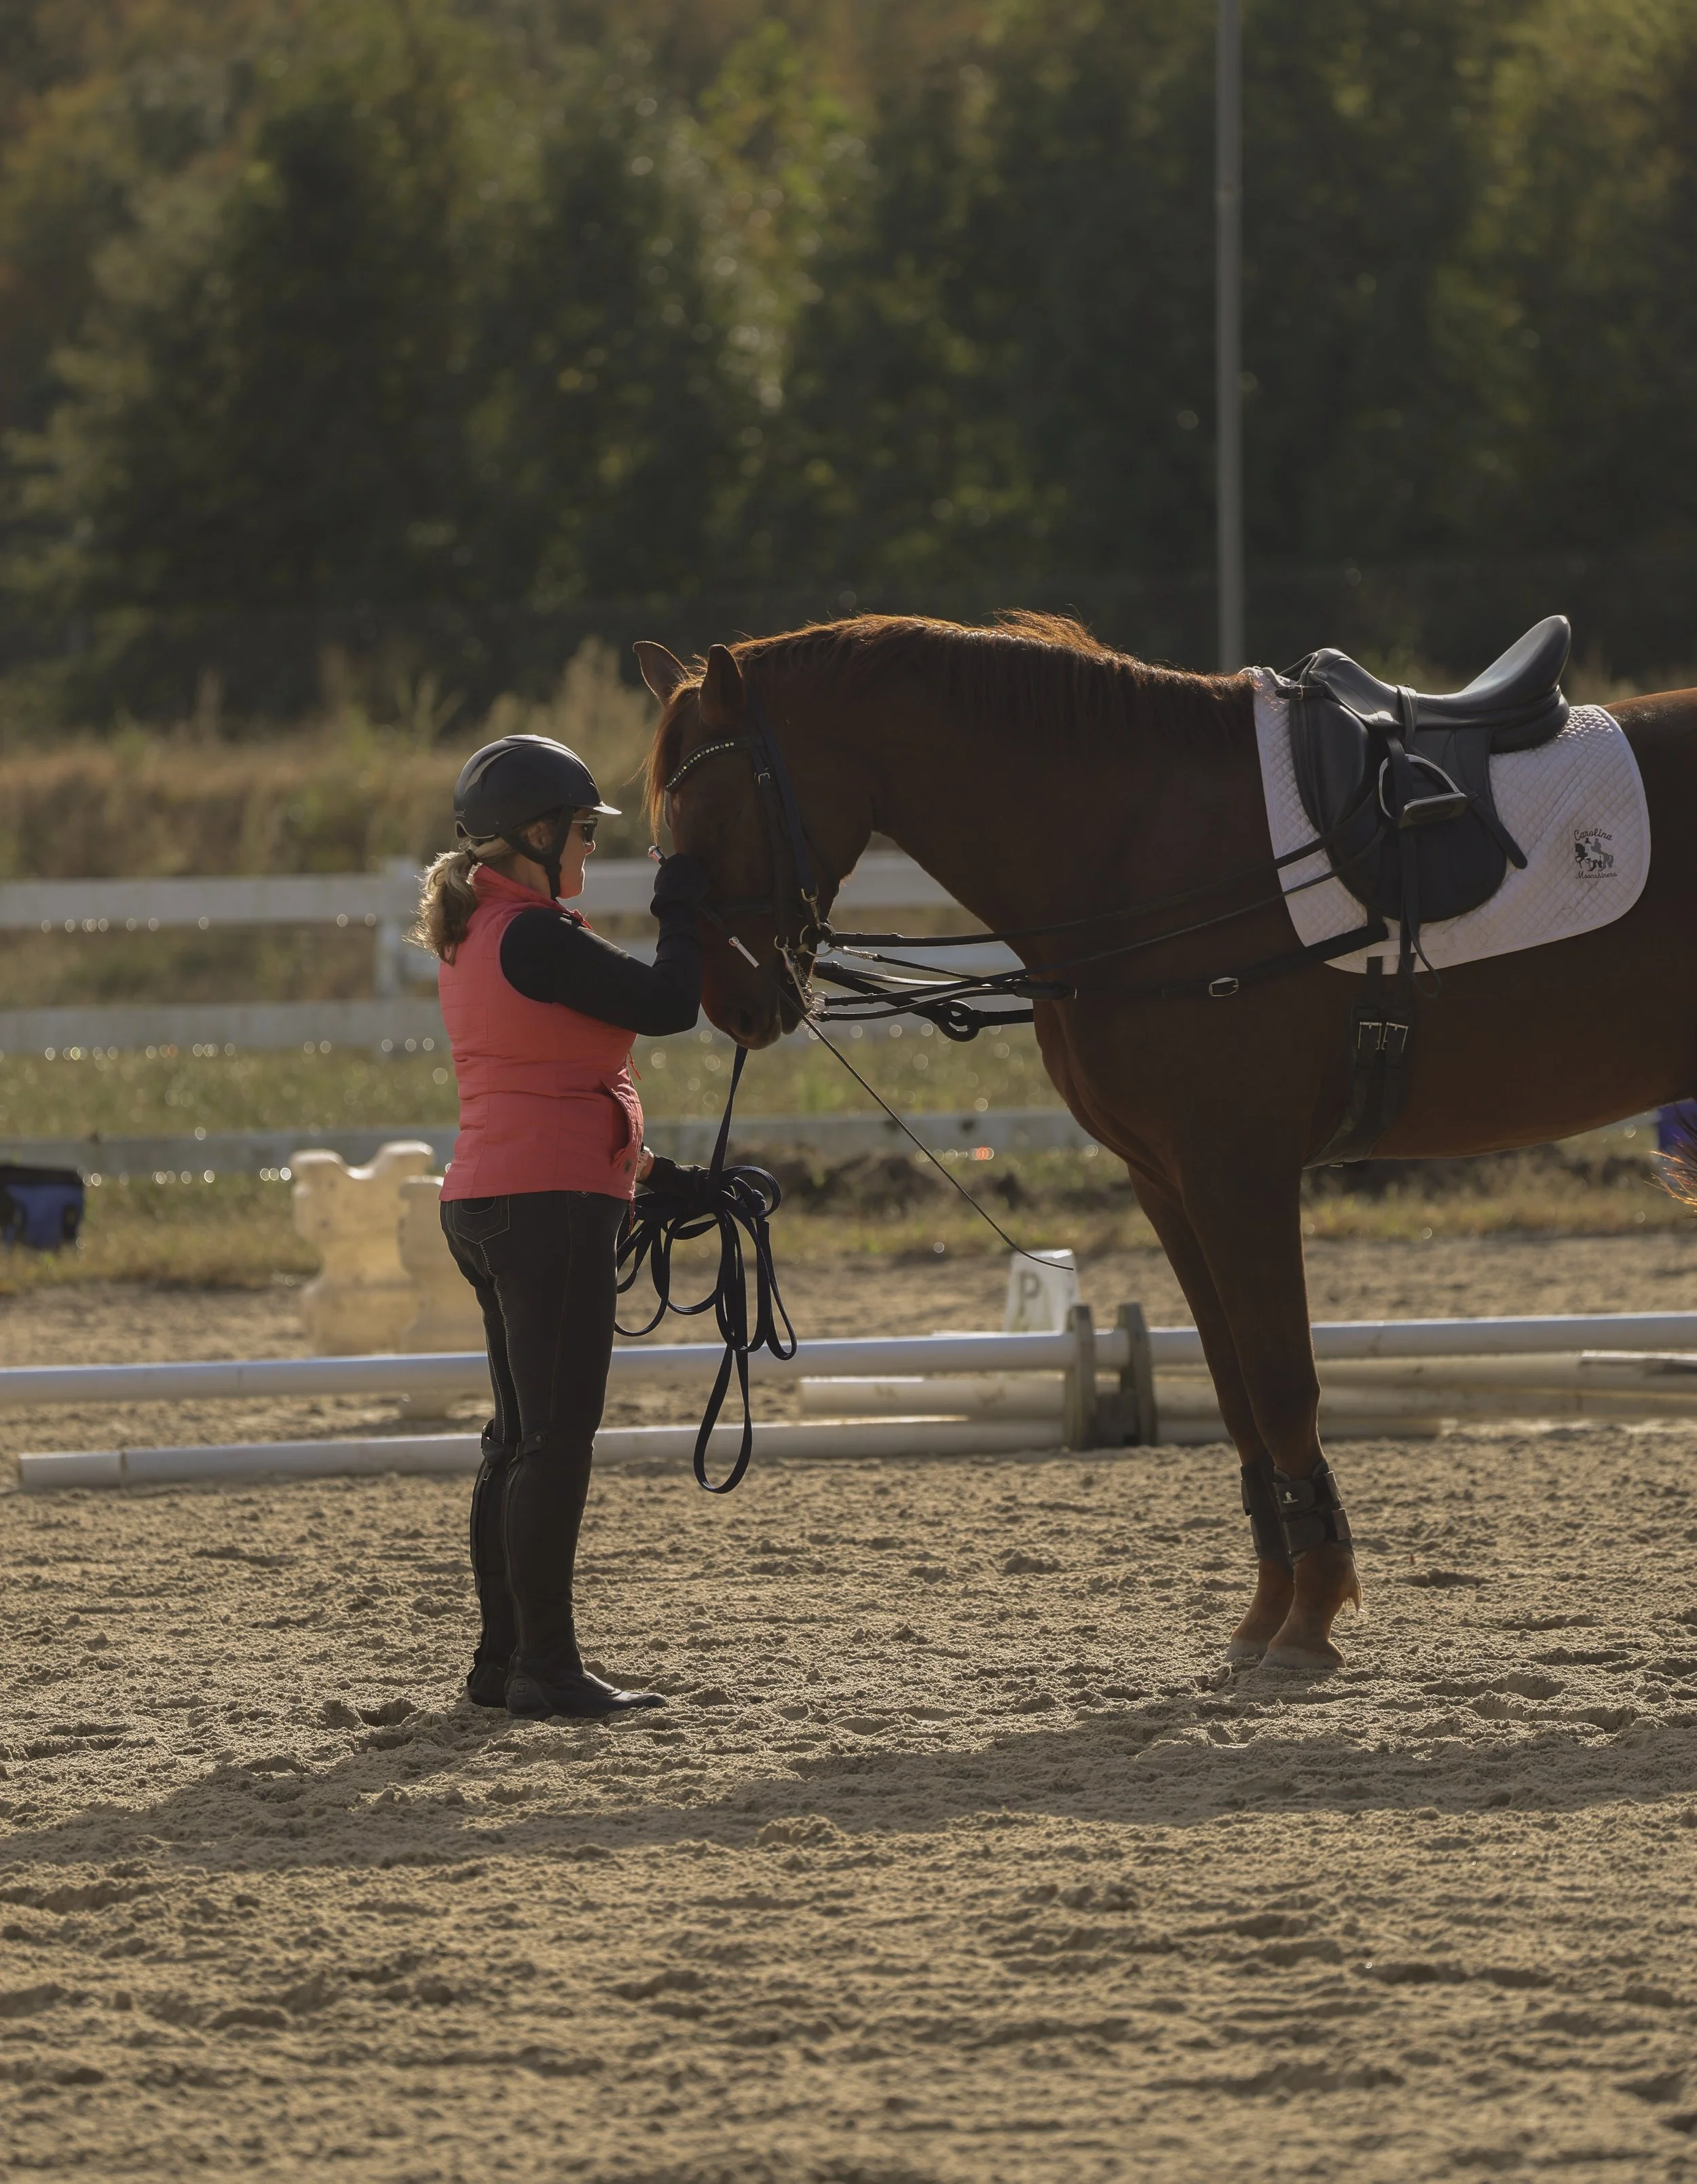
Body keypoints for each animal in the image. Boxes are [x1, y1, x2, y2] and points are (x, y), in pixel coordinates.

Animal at [633, 613, 1697, 1669]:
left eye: (712, 811)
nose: (729, 1007)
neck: (1135, 845)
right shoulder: (1169, 1183)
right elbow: (1234, 1397)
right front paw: (1266, 1616)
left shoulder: (1240, 1174)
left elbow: (1281, 1385)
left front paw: (1310, 1620)